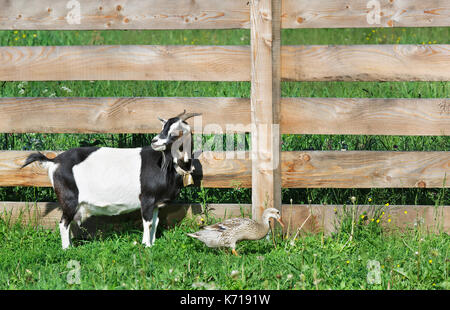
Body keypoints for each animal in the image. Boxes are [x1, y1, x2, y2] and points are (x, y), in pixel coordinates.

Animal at [21, 111, 200, 249]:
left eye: (176, 132)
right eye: (163, 127)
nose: (155, 141)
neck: (165, 163)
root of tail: (54, 161)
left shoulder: (155, 202)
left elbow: (155, 222)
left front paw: (152, 243)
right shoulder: (147, 199)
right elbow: (148, 223)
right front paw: (147, 246)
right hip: (69, 199)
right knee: (63, 223)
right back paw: (67, 249)